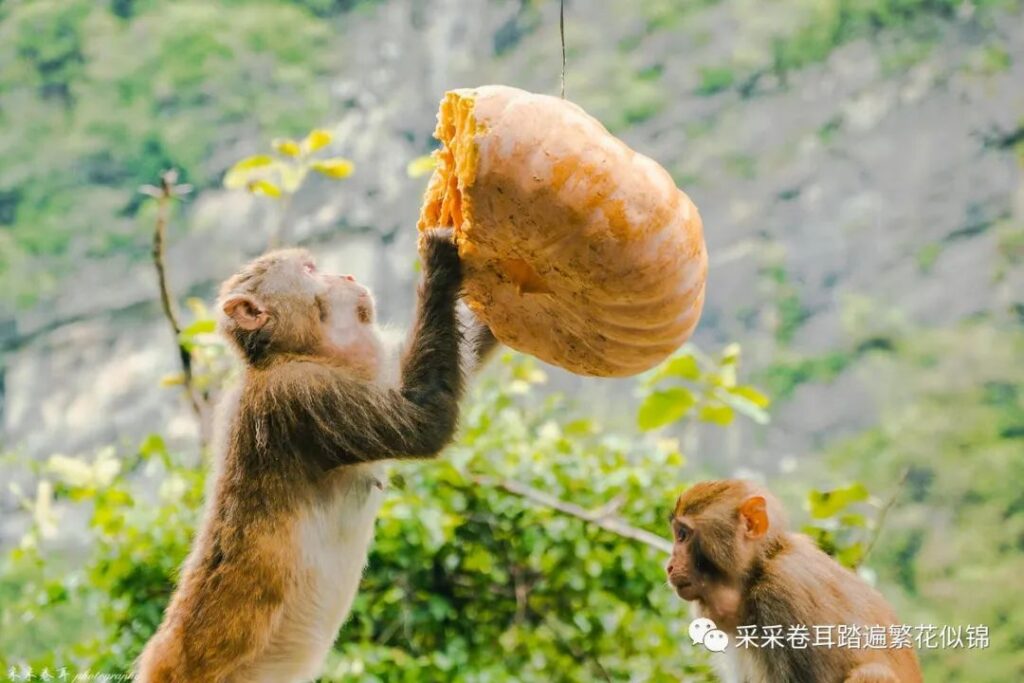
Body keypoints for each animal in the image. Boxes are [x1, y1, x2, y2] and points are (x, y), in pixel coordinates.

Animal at [138, 231, 497, 683]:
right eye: (310, 271)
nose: (346, 275)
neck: (298, 354)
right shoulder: (303, 394)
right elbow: (426, 420)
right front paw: (440, 266)